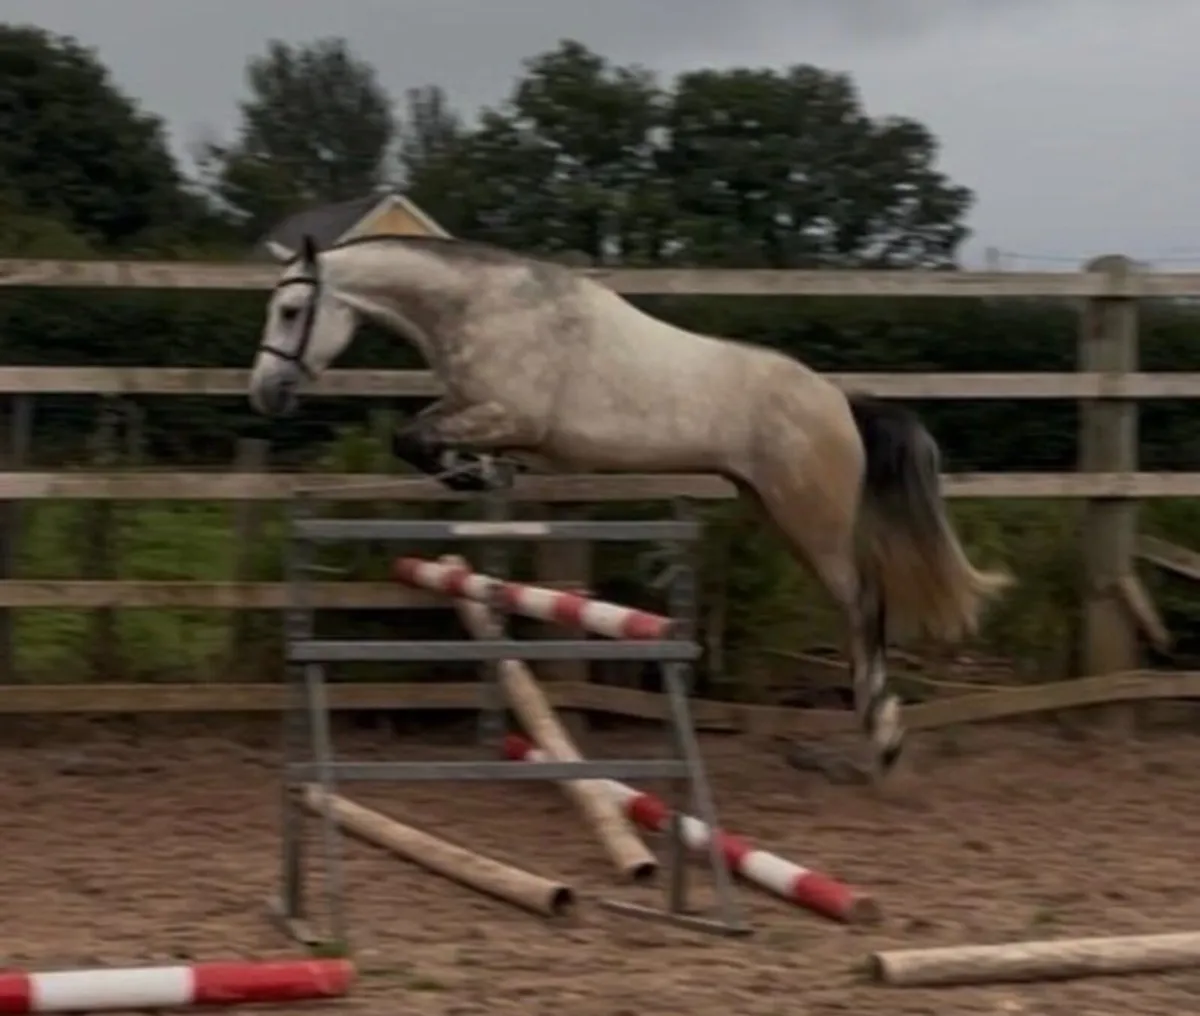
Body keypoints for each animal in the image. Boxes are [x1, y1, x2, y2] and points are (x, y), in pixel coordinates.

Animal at [248, 233, 1013, 782]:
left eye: (291, 311)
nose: (265, 393)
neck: (484, 307)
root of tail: (840, 402)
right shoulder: (477, 410)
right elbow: (417, 437)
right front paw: (480, 475)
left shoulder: (507, 414)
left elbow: (416, 437)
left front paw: (475, 473)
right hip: (771, 506)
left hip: (810, 520)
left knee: (864, 603)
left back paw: (881, 734)